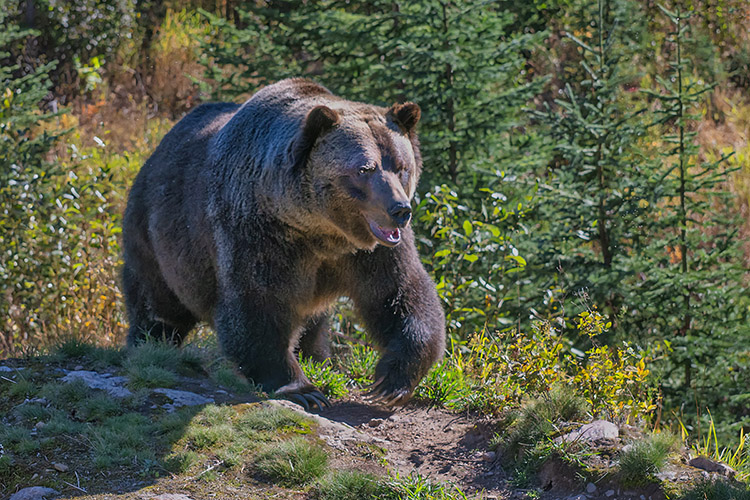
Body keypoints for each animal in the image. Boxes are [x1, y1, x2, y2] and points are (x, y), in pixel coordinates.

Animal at [122, 77, 446, 406]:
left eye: (402, 166)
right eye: (364, 169)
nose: (400, 209)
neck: (320, 230)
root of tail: (161, 145)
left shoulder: (371, 252)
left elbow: (399, 293)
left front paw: (390, 379)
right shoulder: (256, 231)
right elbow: (258, 303)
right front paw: (302, 389)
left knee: (314, 324)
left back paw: (319, 357)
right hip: (157, 231)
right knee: (156, 299)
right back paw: (149, 343)